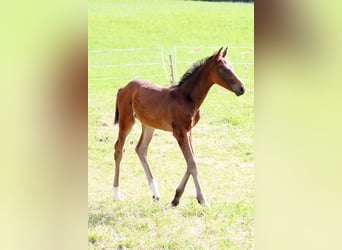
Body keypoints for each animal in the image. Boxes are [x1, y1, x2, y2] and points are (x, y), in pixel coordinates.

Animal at [113, 47, 244, 207]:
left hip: (148, 125)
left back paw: (155, 193)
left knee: (141, 149)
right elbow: (192, 162)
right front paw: (202, 199)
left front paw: (176, 197)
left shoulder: (189, 131)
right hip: (127, 121)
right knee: (119, 149)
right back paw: (116, 194)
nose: (242, 88)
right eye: (223, 68)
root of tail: (123, 88)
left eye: (231, 66)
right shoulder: (179, 132)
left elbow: (192, 160)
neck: (187, 98)